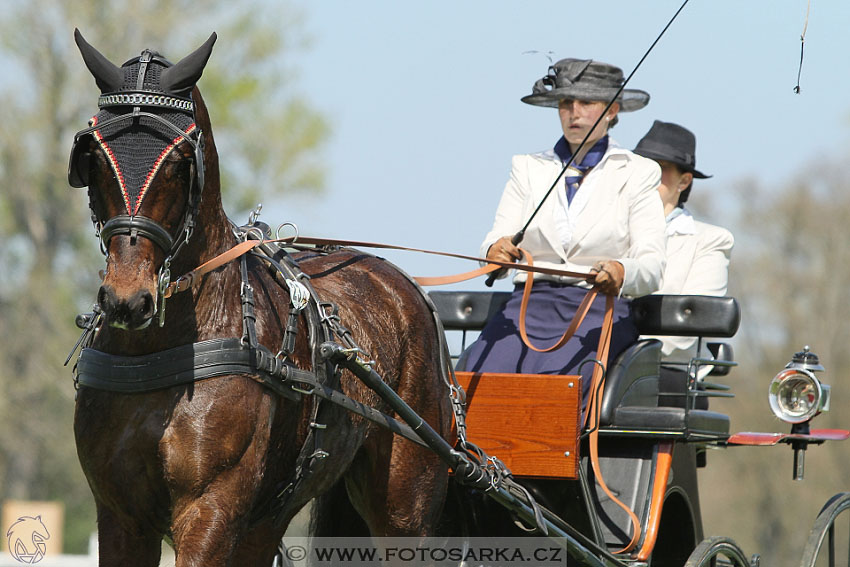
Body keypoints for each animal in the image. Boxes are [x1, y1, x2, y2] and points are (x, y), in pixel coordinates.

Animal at [68, 31, 450, 567]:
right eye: (96, 158)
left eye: (179, 163)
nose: (127, 299)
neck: (159, 348)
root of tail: (402, 284)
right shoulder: (121, 514)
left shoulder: (210, 508)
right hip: (268, 518)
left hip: (405, 508)